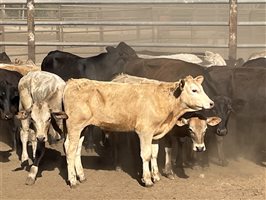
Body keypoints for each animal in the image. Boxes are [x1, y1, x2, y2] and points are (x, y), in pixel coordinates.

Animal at [62, 74, 214, 187]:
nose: (211, 103)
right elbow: (146, 155)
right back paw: (73, 180)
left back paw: (81, 176)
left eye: (201, 88)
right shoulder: (145, 132)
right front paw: (147, 180)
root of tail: (71, 82)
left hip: (82, 127)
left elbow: (154, 154)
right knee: (70, 149)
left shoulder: (155, 134)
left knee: (76, 149)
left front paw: (156, 176)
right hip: (74, 126)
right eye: (194, 90)